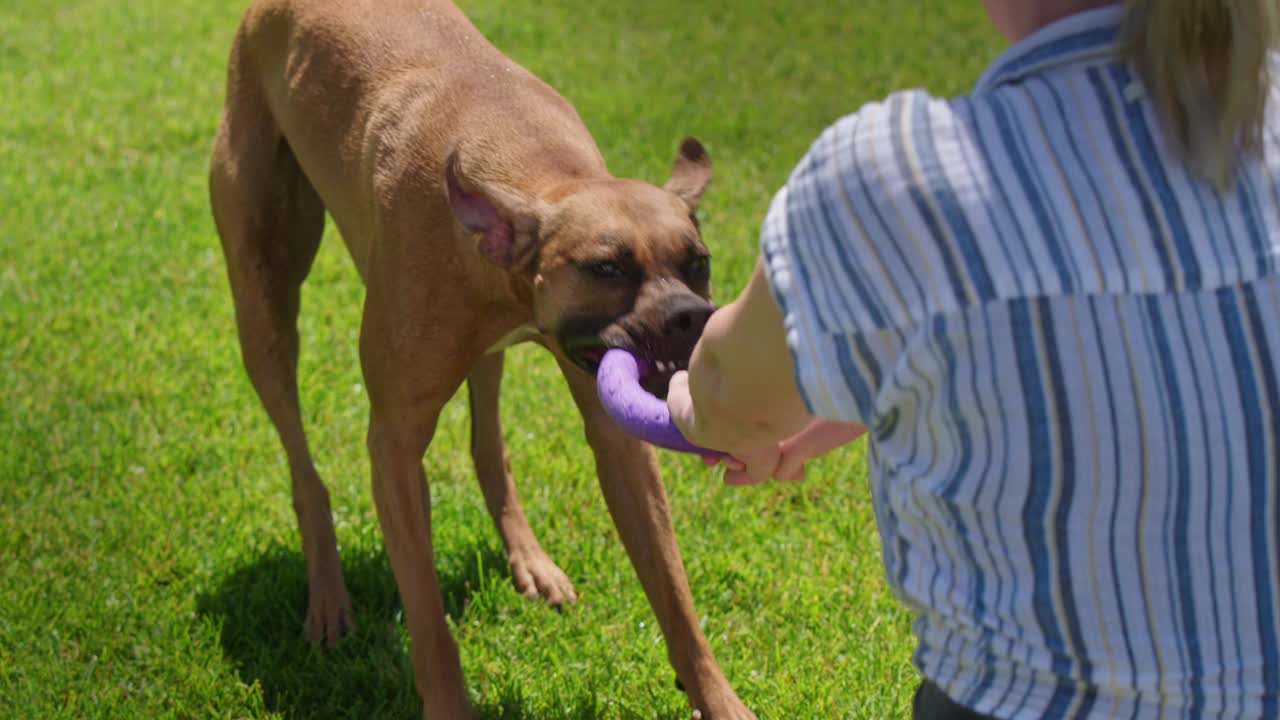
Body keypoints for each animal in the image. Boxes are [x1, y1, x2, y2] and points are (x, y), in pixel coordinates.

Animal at [206, 0, 752, 712]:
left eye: (699, 263)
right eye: (605, 267)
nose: (690, 317)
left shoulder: (616, 439)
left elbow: (674, 593)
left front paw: (717, 697)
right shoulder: (394, 443)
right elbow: (430, 623)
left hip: (478, 356)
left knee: (488, 446)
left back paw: (529, 558)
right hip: (265, 305)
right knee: (304, 468)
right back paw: (327, 596)